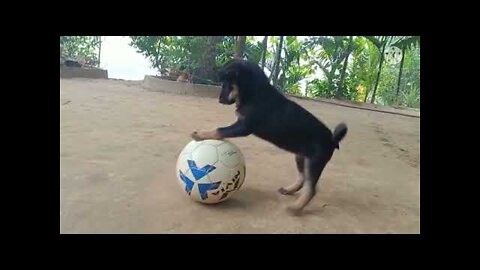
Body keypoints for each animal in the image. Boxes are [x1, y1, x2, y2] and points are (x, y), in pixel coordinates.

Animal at [189, 59, 346, 215]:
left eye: (228, 83)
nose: (220, 100)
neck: (254, 92)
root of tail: (333, 140)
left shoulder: (244, 127)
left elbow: (220, 130)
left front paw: (201, 134)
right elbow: (222, 130)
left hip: (314, 162)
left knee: (311, 188)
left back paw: (296, 207)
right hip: (301, 156)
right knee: (303, 178)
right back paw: (289, 190)